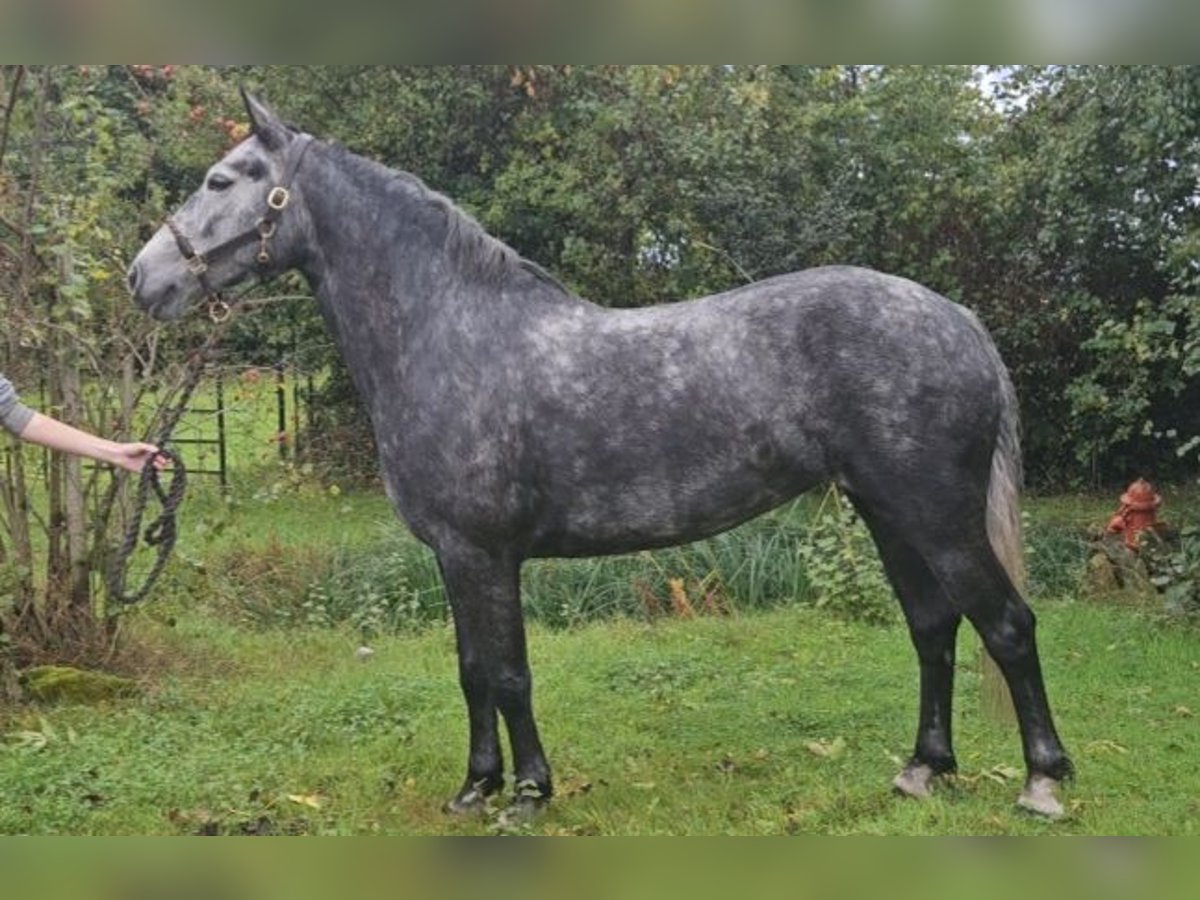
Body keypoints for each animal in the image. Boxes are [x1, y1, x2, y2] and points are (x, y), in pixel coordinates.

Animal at [128, 91, 1072, 821]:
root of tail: (955, 319)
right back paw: (922, 770)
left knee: (1006, 624)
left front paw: (527, 796)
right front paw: (475, 789)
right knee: (934, 628)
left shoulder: (485, 553)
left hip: (935, 515)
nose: (143, 279)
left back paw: (1042, 783)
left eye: (221, 179)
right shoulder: (454, 558)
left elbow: (508, 673)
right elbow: (471, 672)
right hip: (886, 512)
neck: (450, 334)